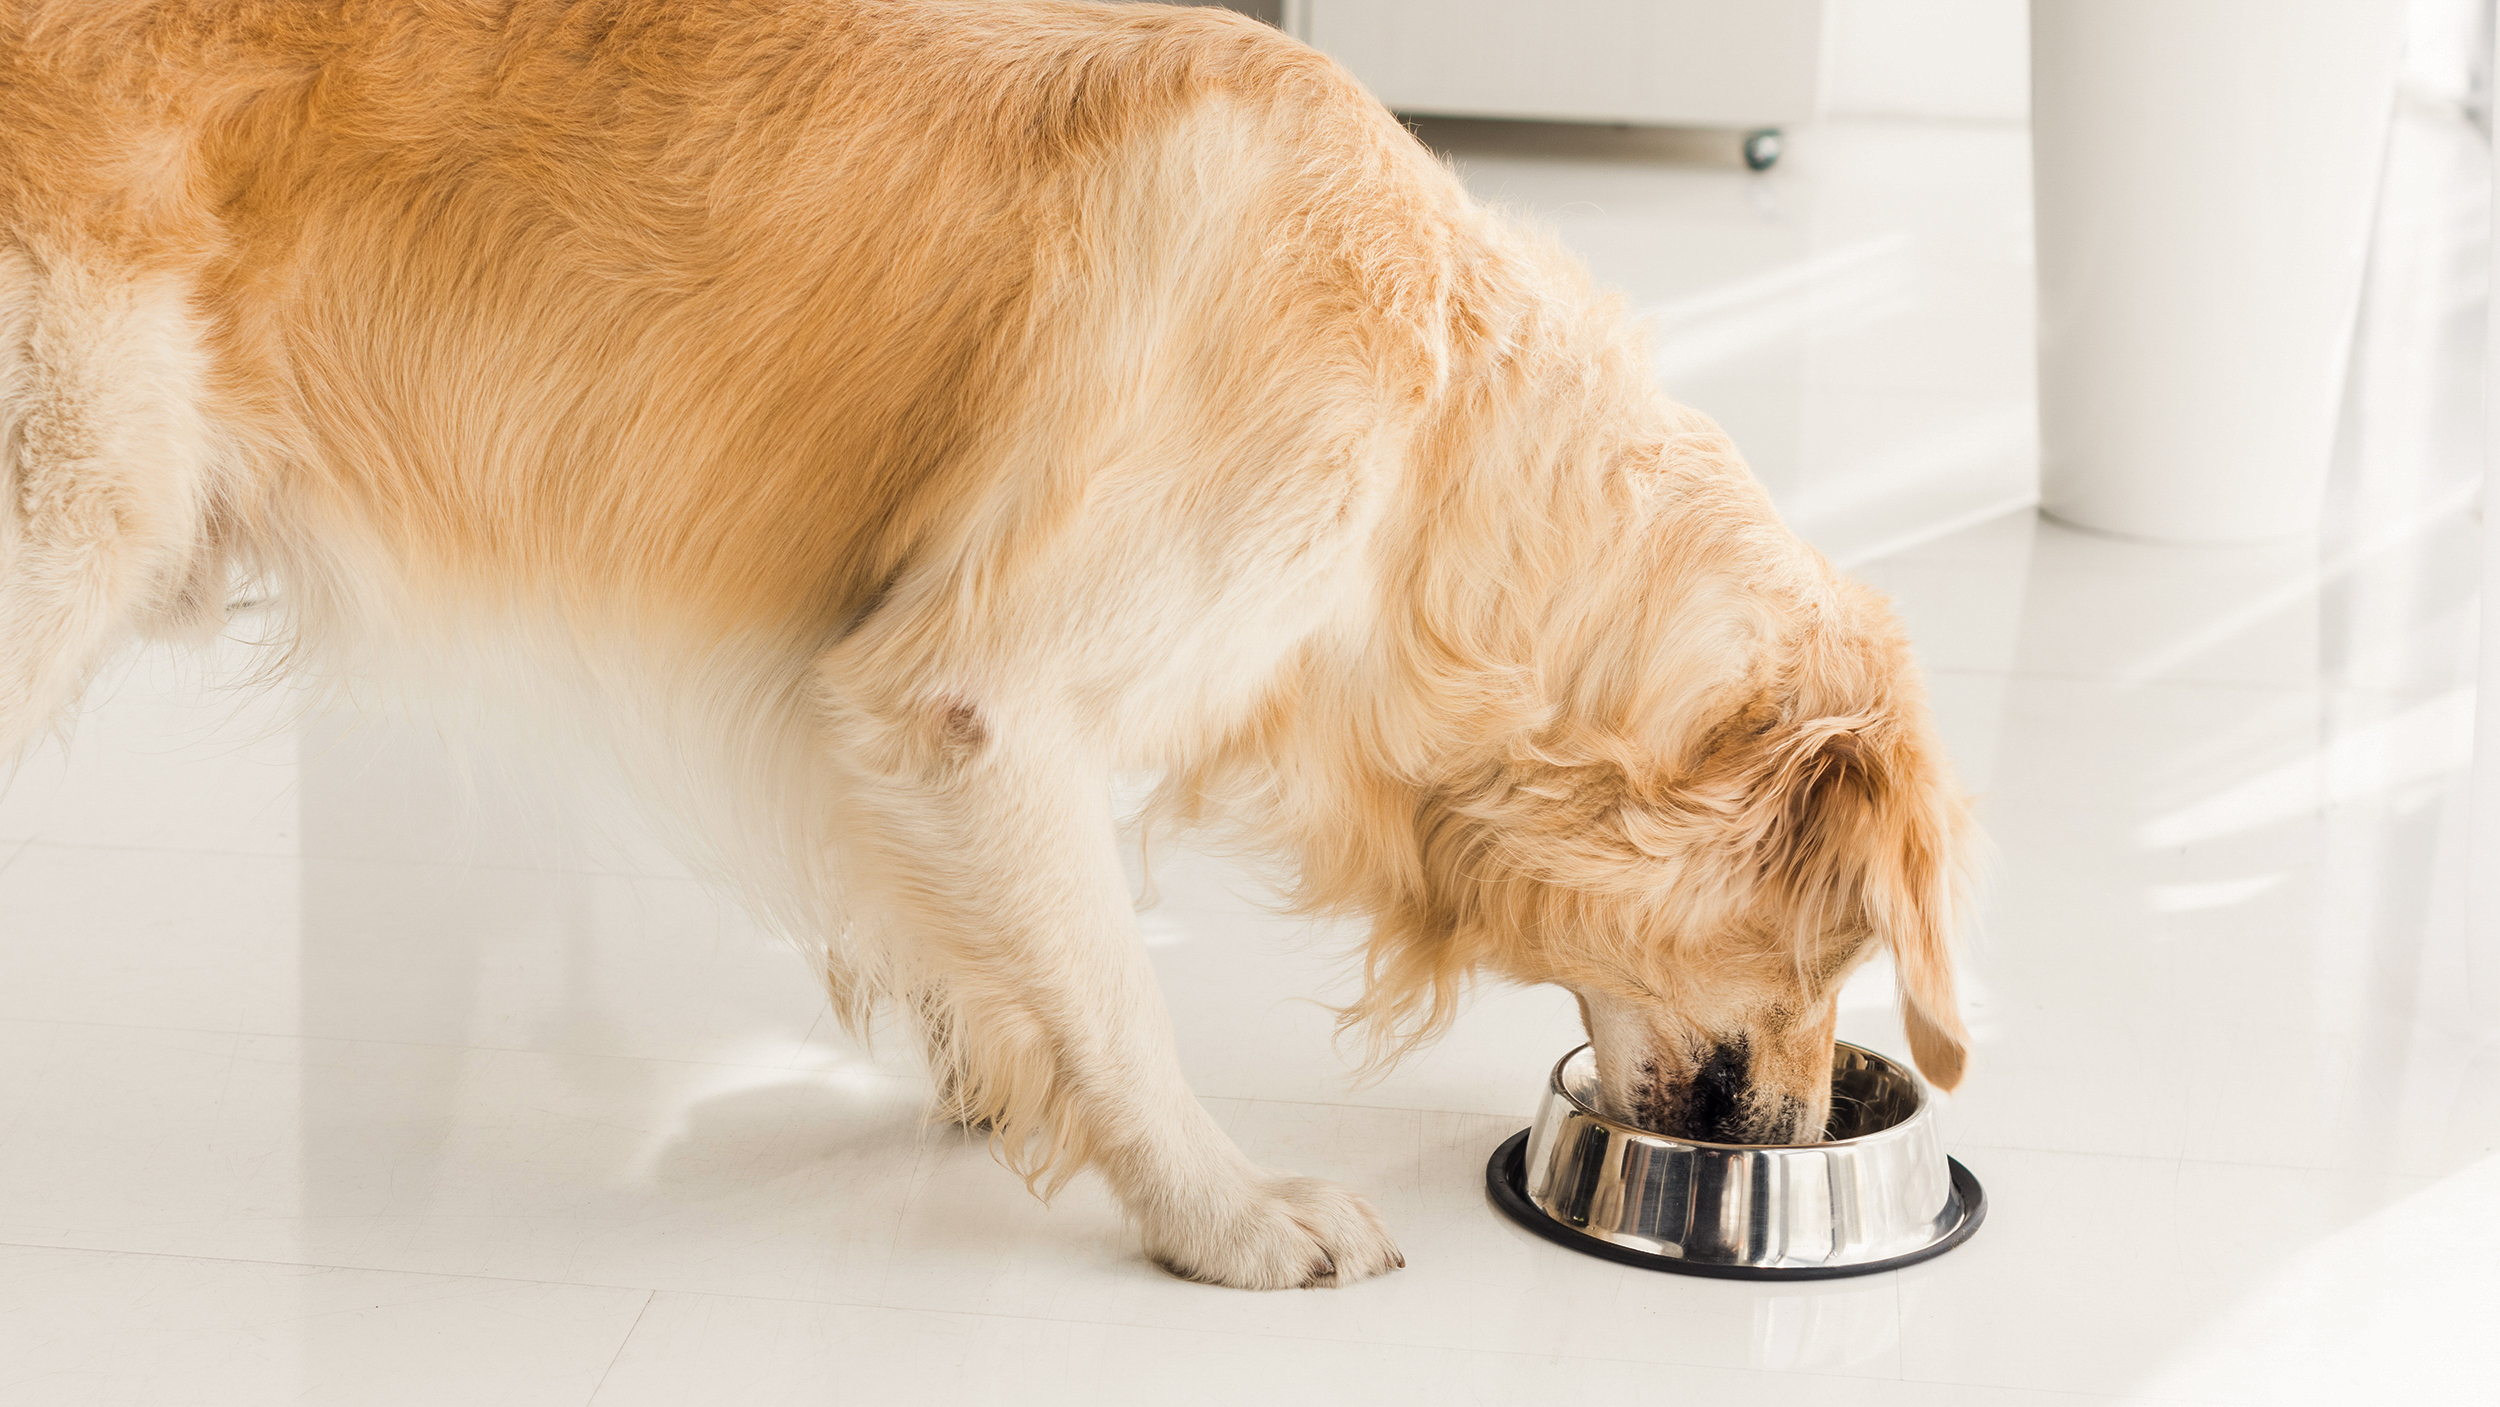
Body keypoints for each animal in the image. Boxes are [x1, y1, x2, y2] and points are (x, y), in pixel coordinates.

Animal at [0, 0, 1970, 1289]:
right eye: (1838, 949)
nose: (1805, 1130)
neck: (1444, 446)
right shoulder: (984, 696)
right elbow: (1114, 977)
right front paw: (1221, 1210)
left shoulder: (890, 693)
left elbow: (997, 930)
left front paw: (992, 1056)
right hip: (62, 526)